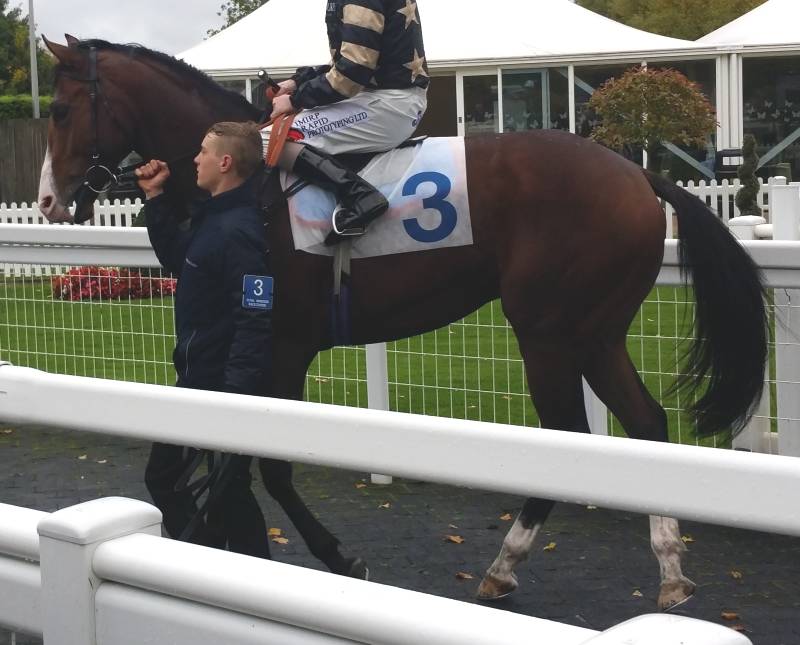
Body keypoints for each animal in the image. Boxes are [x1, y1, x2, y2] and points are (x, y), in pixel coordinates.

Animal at [37, 37, 768, 612]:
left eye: (62, 109)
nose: (47, 200)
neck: (250, 191)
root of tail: (638, 176)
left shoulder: (283, 345)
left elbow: (271, 464)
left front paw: (337, 556)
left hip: (548, 331)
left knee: (569, 430)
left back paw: (505, 566)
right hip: (597, 330)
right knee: (646, 424)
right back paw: (669, 573)